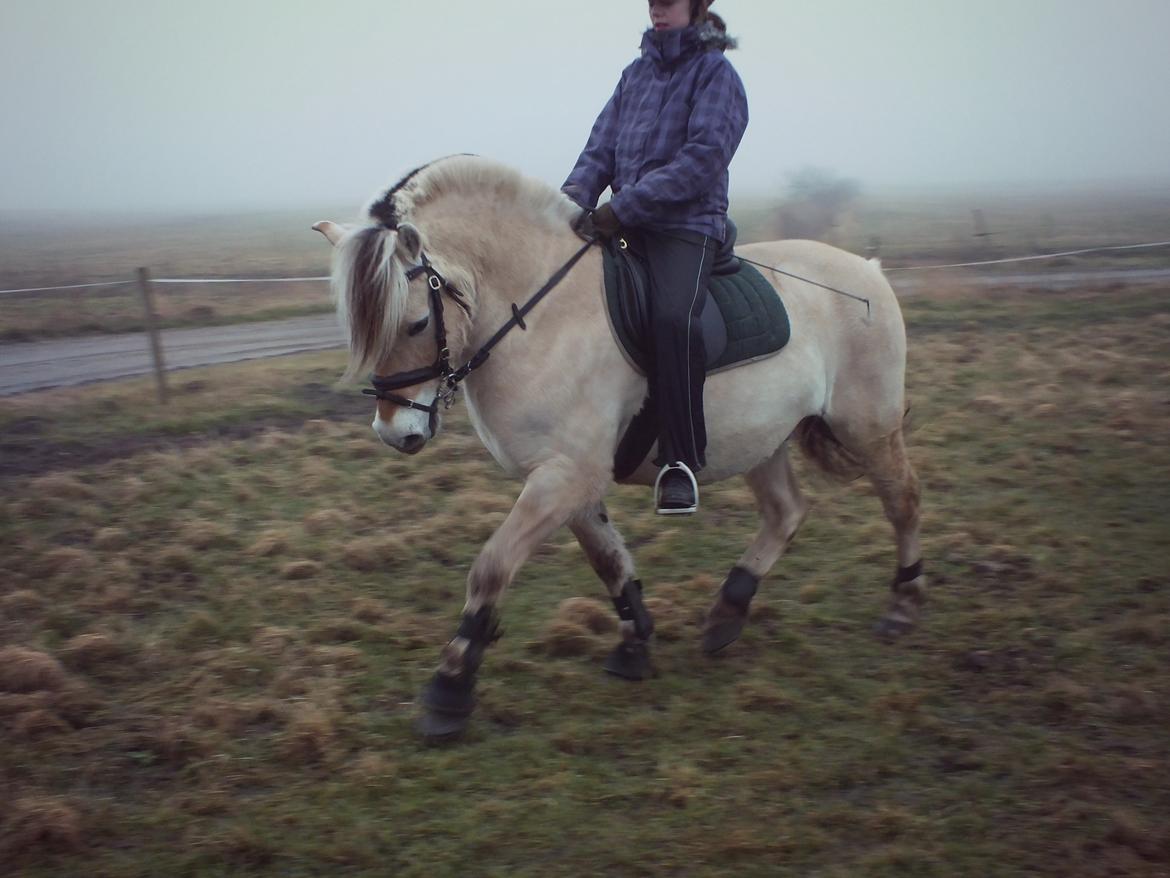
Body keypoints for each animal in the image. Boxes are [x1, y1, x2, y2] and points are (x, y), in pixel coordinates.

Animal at [311, 154, 921, 739]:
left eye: (416, 322)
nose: (397, 434)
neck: (542, 315)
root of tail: (867, 270)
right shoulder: (567, 479)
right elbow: (608, 560)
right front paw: (633, 643)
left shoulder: (565, 476)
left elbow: (491, 568)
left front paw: (450, 686)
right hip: (761, 440)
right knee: (785, 512)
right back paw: (727, 612)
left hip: (868, 427)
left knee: (903, 502)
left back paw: (903, 606)